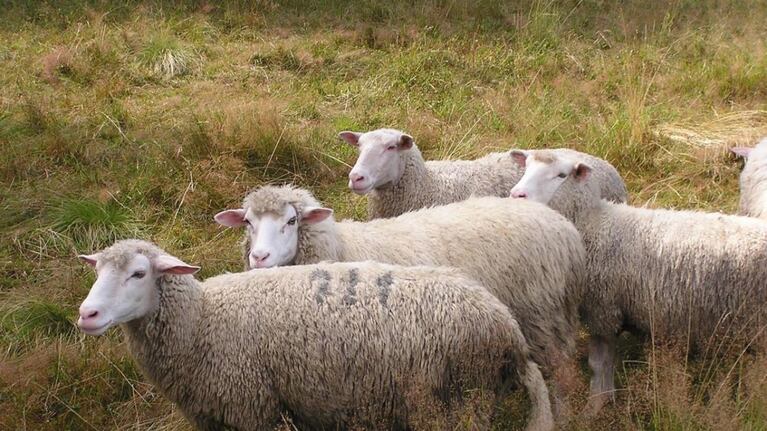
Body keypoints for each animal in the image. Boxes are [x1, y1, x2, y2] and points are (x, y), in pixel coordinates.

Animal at [76, 239, 553, 431]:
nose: (87, 314)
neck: (202, 322)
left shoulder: (252, 410)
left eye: (139, 273)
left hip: (461, 400)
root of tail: (509, 331)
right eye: (97, 271)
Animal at [215, 185, 586, 414]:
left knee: (562, 374)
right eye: (248, 222)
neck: (341, 245)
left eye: (291, 221)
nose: (259, 258)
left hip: (540, 314)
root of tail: (568, 231)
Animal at [508, 149, 767, 414]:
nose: (517, 195)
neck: (592, 224)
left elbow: (598, 363)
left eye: (561, 175)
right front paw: (604, 398)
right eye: (526, 166)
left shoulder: (604, 310)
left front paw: (596, 404)